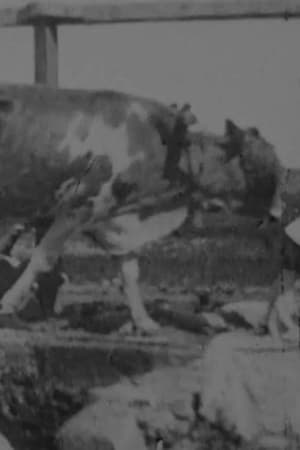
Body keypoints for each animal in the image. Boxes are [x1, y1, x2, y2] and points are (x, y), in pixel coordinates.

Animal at [0, 82, 202, 334]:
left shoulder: (115, 221)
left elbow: (129, 272)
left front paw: (144, 321)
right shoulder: (80, 205)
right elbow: (43, 257)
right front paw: (9, 303)